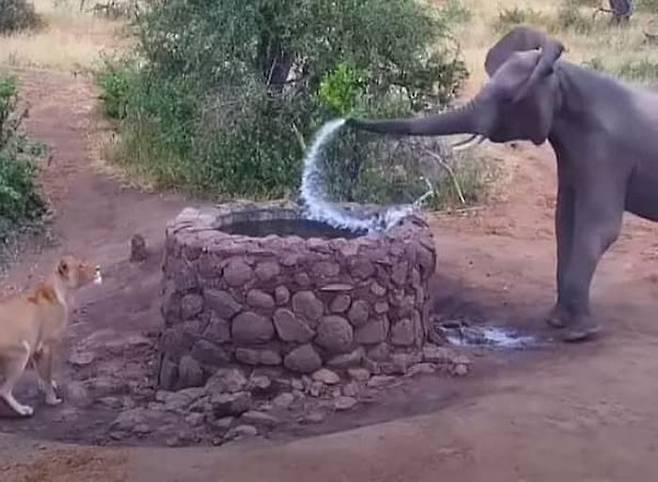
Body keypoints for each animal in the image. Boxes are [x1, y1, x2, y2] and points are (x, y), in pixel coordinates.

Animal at [346, 25, 658, 342]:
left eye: (507, 99)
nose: (346, 118)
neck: (563, 76)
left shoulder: (608, 152)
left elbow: (598, 228)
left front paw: (579, 334)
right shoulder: (573, 156)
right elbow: (564, 222)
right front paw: (557, 322)